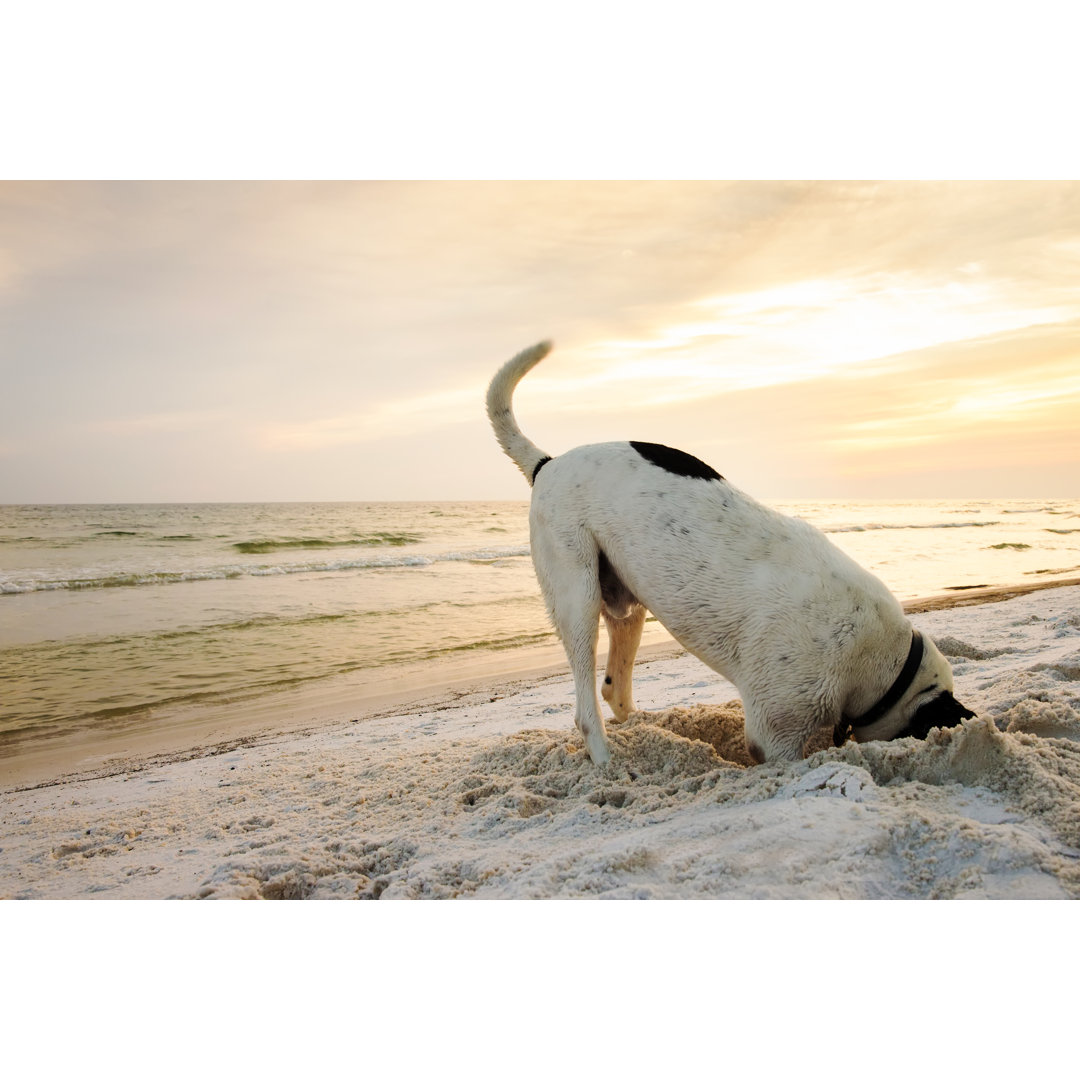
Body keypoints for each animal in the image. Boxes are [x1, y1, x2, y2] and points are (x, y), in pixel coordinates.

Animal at [486, 341, 976, 764]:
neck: (883, 660)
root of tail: (548, 464)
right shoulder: (775, 730)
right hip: (578, 595)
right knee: (586, 706)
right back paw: (607, 760)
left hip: (626, 605)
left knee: (614, 687)